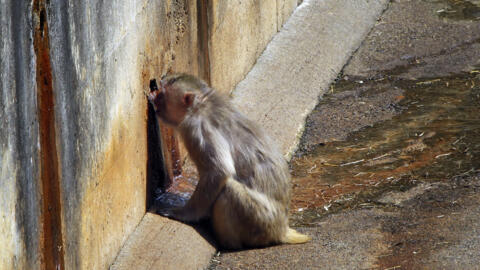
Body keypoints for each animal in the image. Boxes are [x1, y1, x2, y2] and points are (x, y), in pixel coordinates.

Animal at [147, 73, 312, 249]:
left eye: (162, 94)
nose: (155, 98)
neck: (202, 106)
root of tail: (281, 230)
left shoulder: (198, 130)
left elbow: (219, 171)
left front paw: (183, 214)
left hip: (258, 221)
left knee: (229, 188)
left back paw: (228, 243)